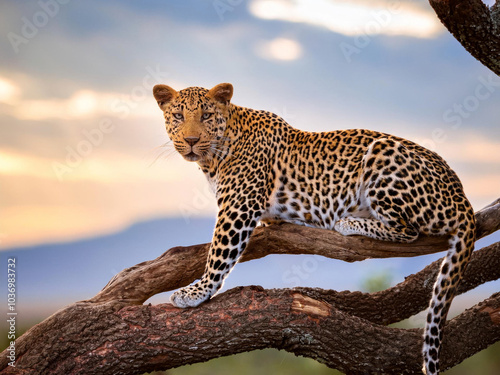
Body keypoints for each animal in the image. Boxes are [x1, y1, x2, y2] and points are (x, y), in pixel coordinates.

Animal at [152, 83, 476, 375]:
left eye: (206, 115)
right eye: (179, 115)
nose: (191, 139)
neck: (215, 155)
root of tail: (462, 196)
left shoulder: (238, 207)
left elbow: (219, 253)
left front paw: (197, 291)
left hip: (383, 152)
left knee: (407, 229)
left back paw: (349, 222)